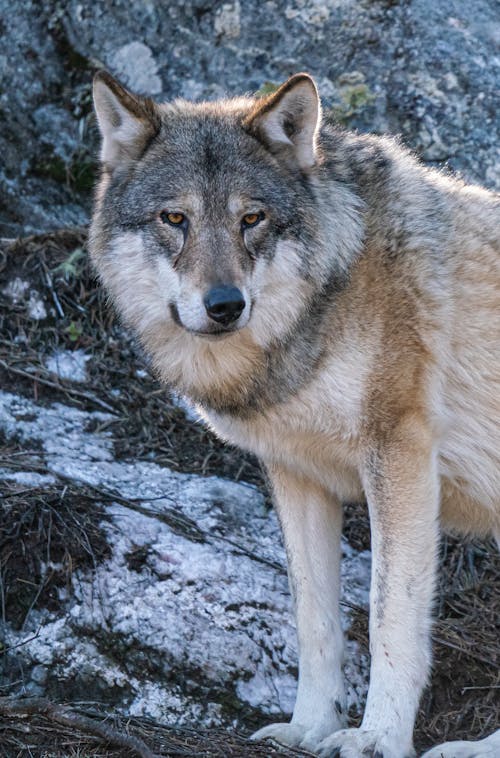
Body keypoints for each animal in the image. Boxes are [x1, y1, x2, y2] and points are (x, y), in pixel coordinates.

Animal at [88, 71, 498, 758]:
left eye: (251, 218)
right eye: (175, 219)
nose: (224, 304)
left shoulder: (401, 457)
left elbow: (390, 620)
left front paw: (375, 738)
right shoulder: (296, 473)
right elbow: (315, 621)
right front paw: (309, 728)